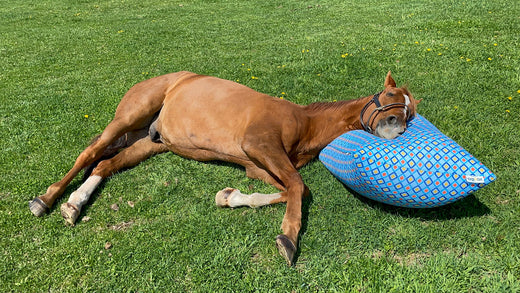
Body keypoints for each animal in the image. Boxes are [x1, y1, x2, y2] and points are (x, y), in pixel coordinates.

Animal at [28, 70, 420, 264]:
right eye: (388, 97)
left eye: (411, 111)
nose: (396, 129)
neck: (303, 122)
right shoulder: (260, 146)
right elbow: (298, 187)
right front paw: (288, 239)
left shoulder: (258, 166)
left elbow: (287, 189)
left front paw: (229, 197)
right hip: (129, 117)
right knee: (89, 153)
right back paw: (46, 200)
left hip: (150, 142)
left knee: (107, 163)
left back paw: (75, 204)